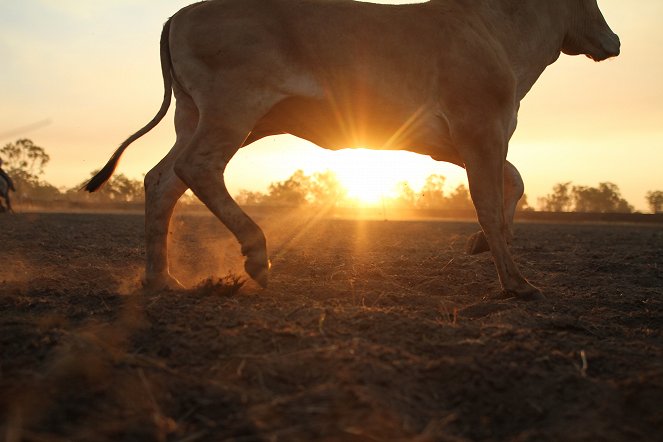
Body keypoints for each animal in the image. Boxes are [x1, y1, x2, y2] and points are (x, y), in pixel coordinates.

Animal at [85, 0, 620, 298]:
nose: (613, 40)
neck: (499, 31)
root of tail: (182, 12)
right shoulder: (480, 129)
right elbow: (488, 201)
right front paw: (517, 284)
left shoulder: (455, 143)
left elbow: (514, 180)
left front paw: (484, 243)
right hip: (231, 111)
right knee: (197, 169)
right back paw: (255, 255)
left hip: (195, 117)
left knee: (161, 181)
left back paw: (160, 280)